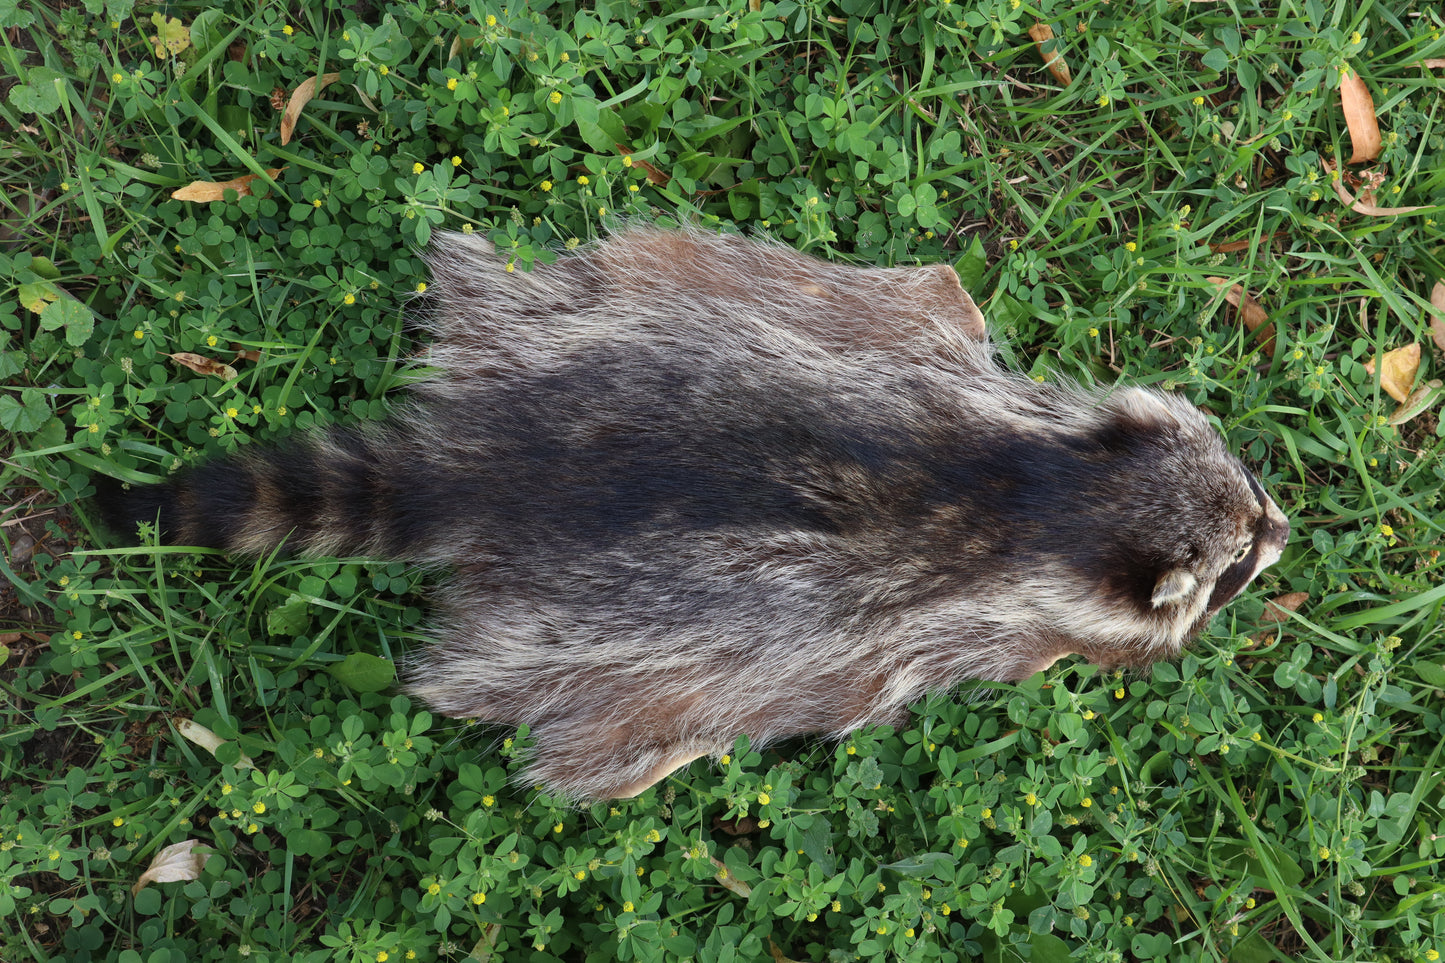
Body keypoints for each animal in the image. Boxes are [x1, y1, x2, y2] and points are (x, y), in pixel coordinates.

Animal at [98, 227, 1290, 800]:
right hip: (596, 655)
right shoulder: (999, 607)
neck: (1052, 495)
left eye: (1253, 493)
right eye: (1234, 566)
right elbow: (942, 286)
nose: (1286, 529)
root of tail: (488, 469)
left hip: (595, 313)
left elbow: (927, 291)